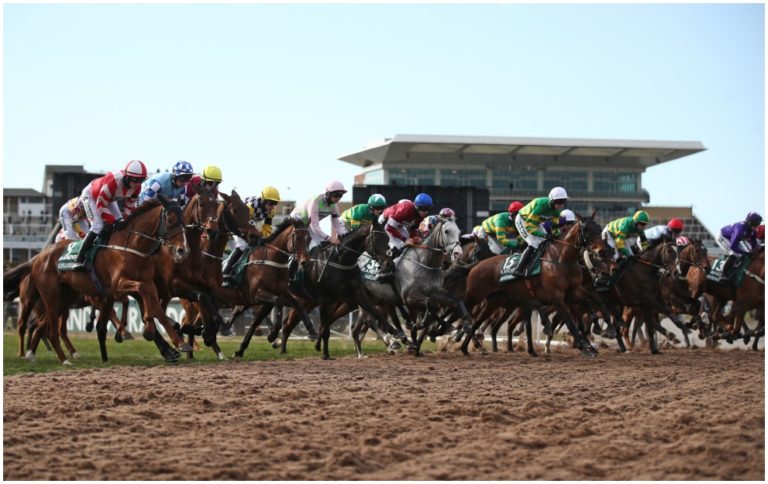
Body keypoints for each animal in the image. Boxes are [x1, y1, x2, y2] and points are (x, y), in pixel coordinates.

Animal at [21, 198, 192, 364]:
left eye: (184, 220)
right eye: (170, 220)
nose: (183, 251)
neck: (132, 245)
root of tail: (39, 256)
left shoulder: (147, 283)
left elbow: (157, 308)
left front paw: (179, 343)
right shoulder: (118, 285)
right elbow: (142, 292)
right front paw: (148, 328)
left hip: (65, 298)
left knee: (42, 325)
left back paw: (32, 355)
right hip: (51, 296)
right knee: (51, 329)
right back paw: (63, 360)